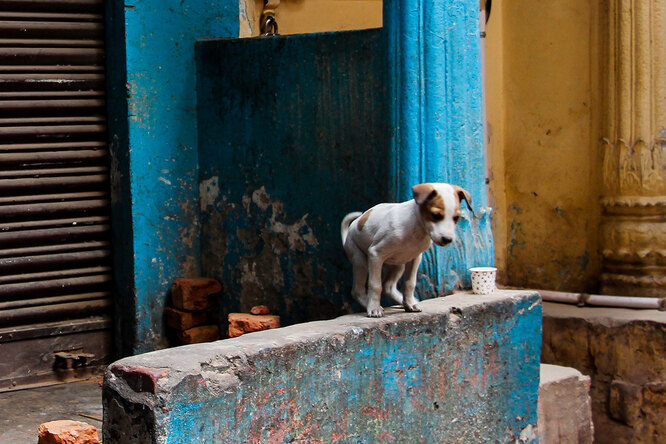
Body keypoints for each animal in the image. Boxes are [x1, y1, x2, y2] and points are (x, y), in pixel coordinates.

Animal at [340, 182, 470, 318]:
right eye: (436, 215)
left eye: (456, 217)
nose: (447, 239)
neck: (416, 227)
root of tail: (348, 234)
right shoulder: (375, 254)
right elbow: (375, 285)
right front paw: (374, 308)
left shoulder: (415, 258)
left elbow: (409, 283)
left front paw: (410, 303)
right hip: (361, 261)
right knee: (357, 290)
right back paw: (369, 304)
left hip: (398, 265)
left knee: (388, 287)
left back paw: (403, 302)